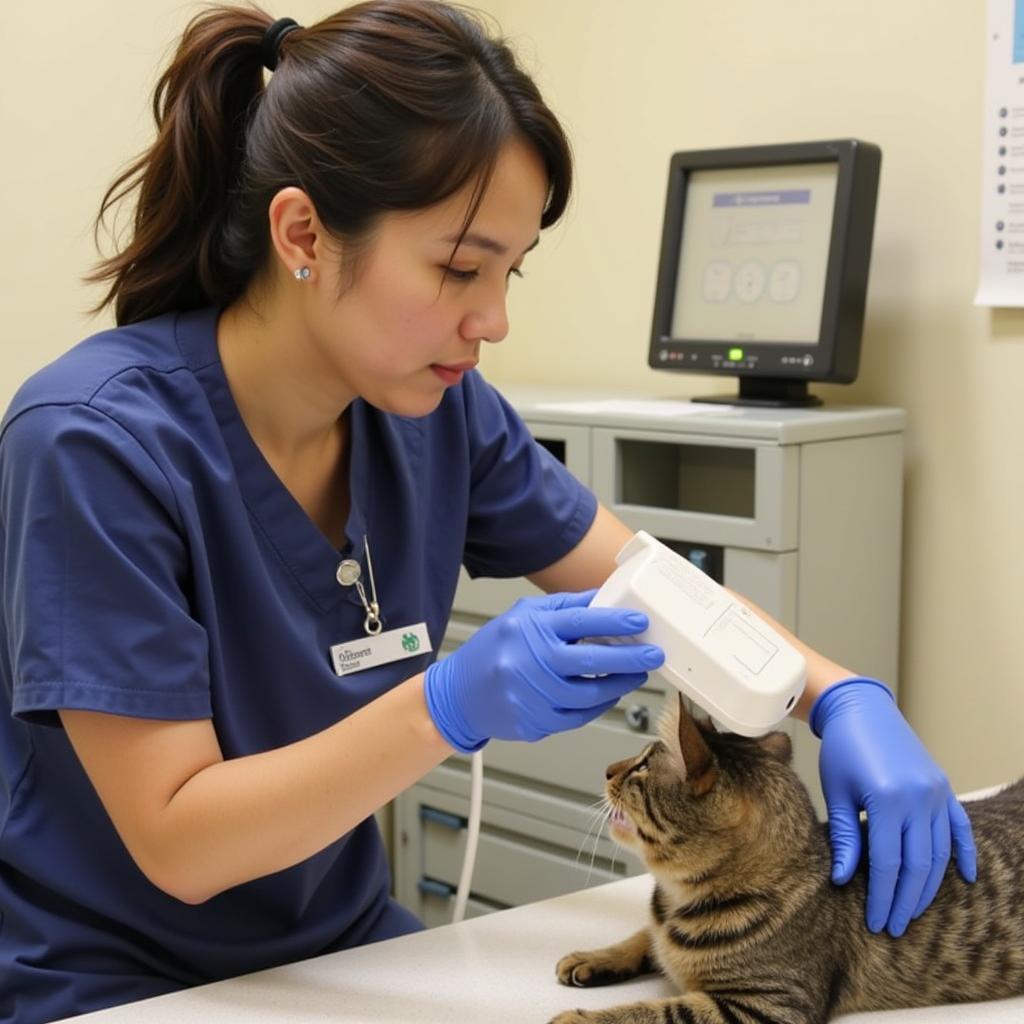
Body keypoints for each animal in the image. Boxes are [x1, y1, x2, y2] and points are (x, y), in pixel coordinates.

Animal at [552, 696, 1024, 1024]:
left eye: (642, 767)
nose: (609, 769)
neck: (675, 900)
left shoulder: (767, 1005)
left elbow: (659, 1012)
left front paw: (579, 1020)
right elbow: (642, 936)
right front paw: (596, 957)